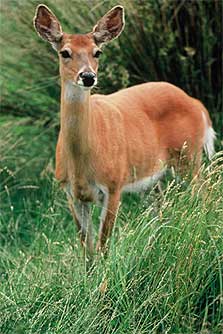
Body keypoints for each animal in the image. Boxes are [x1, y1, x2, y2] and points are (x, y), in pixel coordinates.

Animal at [33, 5, 216, 260]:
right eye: (65, 52)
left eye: (97, 52)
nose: (88, 77)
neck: (82, 161)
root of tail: (197, 105)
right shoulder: (71, 193)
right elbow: (87, 250)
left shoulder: (113, 184)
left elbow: (103, 246)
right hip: (152, 177)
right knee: (159, 212)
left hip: (189, 156)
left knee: (205, 195)